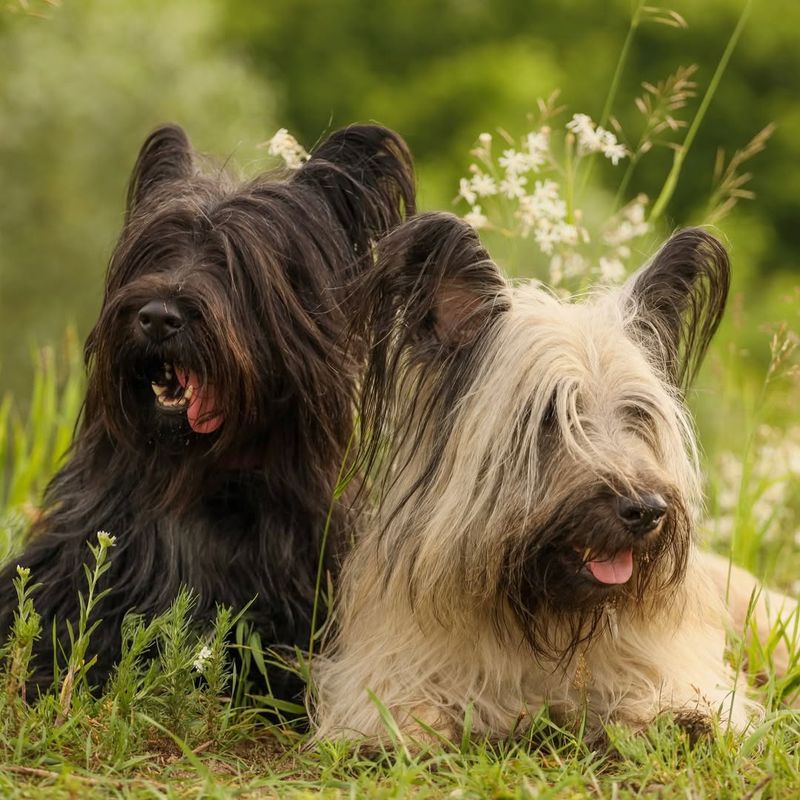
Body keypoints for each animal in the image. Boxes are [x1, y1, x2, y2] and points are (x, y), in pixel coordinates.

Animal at [316, 211, 796, 744]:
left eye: (637, 415)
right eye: (550, 415)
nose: (646, 510)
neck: (545, 616)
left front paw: (682, 715)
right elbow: (396, 703)